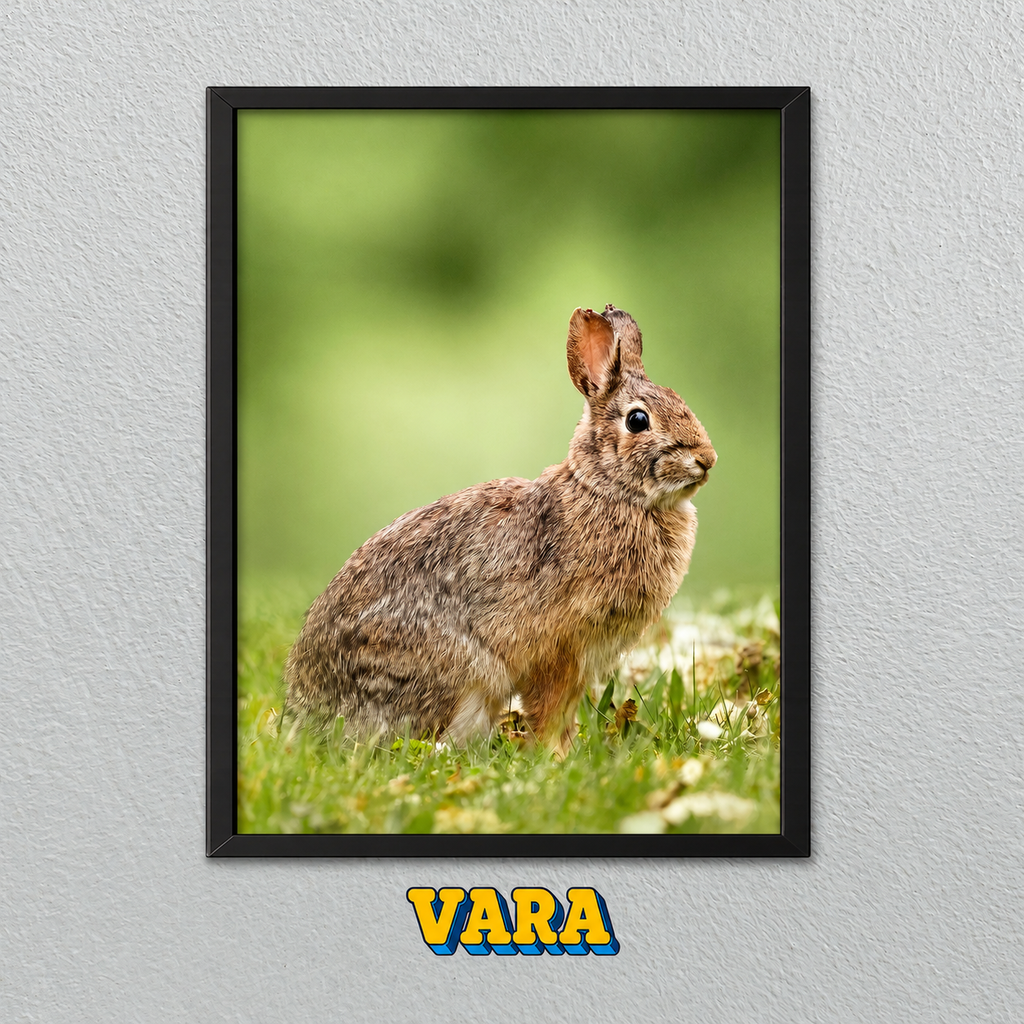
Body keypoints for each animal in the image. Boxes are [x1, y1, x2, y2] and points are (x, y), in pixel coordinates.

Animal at [284, 304, 716, 756]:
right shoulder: (560, 649)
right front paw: (555, 757)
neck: (610, 489)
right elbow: (550, 710)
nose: (707, 458)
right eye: (637, 420)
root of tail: (308, 711)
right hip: (457, 674)